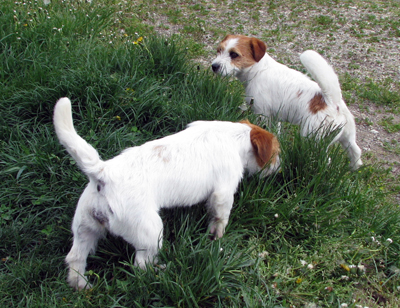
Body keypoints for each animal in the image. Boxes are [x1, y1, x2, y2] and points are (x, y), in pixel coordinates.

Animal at [53, 97, 280, 290]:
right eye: (276, 153)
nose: (279, 168)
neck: (234, 137)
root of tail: (103, 173)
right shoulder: (223, 192)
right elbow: (220, 217)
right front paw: (217, 236)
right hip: (150, 232)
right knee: (141, 266)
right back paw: (160, 273)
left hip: (85, 227)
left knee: (75, 258)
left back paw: (81, 285)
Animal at [212, 35, 362, 171]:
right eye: (219, 50)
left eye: (234, 54)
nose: (214, 66)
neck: (259, 69)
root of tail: (332, 102)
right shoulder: (275, 117)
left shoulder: (262, 113)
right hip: (347, 138)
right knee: (356, 152)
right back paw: (352, 170)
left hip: (313, 139)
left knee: (327, 160)